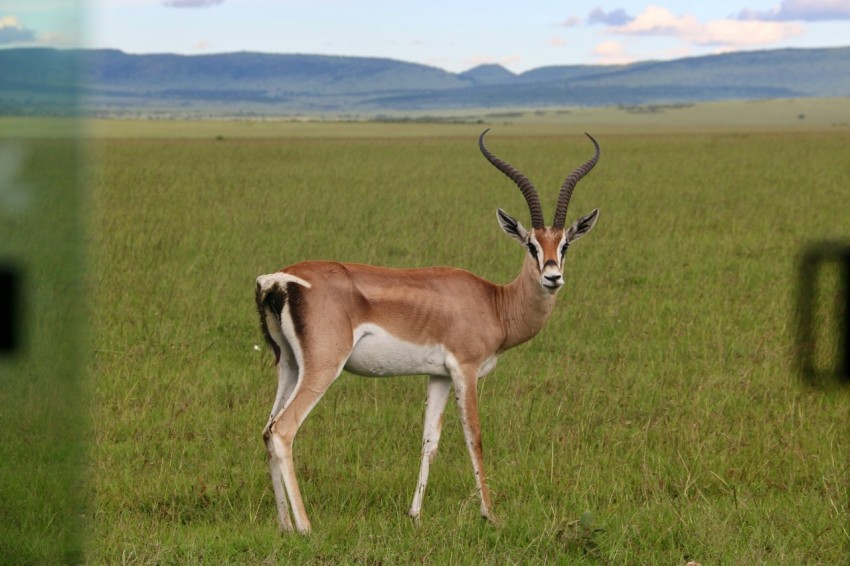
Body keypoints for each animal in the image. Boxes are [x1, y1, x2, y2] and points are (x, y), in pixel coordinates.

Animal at [255, 130, 600, 533]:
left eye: (564, 244)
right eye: (531, 244)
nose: (552, 276)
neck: (494, 303)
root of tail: (278, 280)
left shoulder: (439, 375)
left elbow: (429, 441)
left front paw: (415, 514)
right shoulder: (466, 369)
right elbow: (474, 437)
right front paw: (490, 515)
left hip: (290, 366)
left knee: (268, 430)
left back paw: (284, 525)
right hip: (323, 367)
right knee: (284, 430)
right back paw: (306, 527)